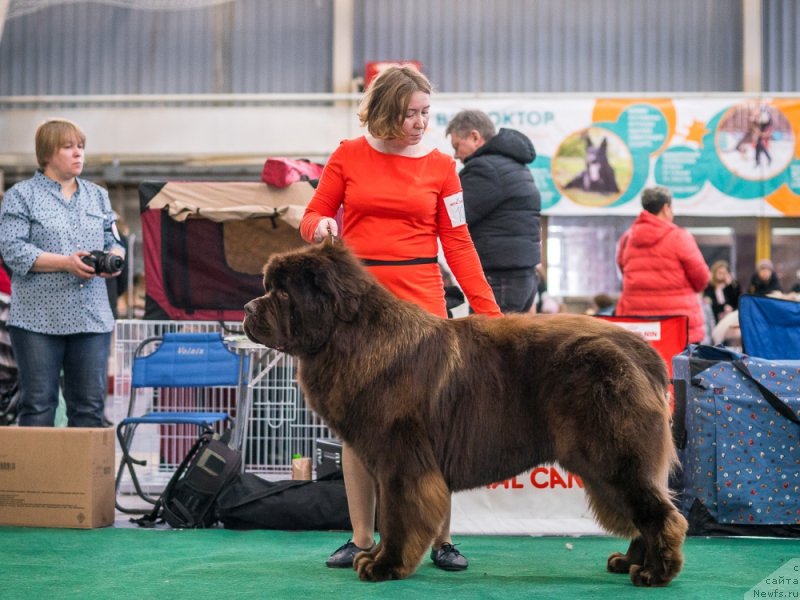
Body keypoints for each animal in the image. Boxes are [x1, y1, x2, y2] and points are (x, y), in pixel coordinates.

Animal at [244, 239, 688, 584]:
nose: (248, 309)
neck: (353, 337)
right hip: (604, 464)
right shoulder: (385, 462)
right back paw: (629, 562)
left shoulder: (401, 462)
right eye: (269, 288)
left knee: (658, 514)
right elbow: (389, 515)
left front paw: (385, 566)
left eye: (283, 294)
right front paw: (375, 557)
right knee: (644, 511)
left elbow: (398, 515)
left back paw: (655, 573)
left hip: (611, 457)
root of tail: (641, 350)